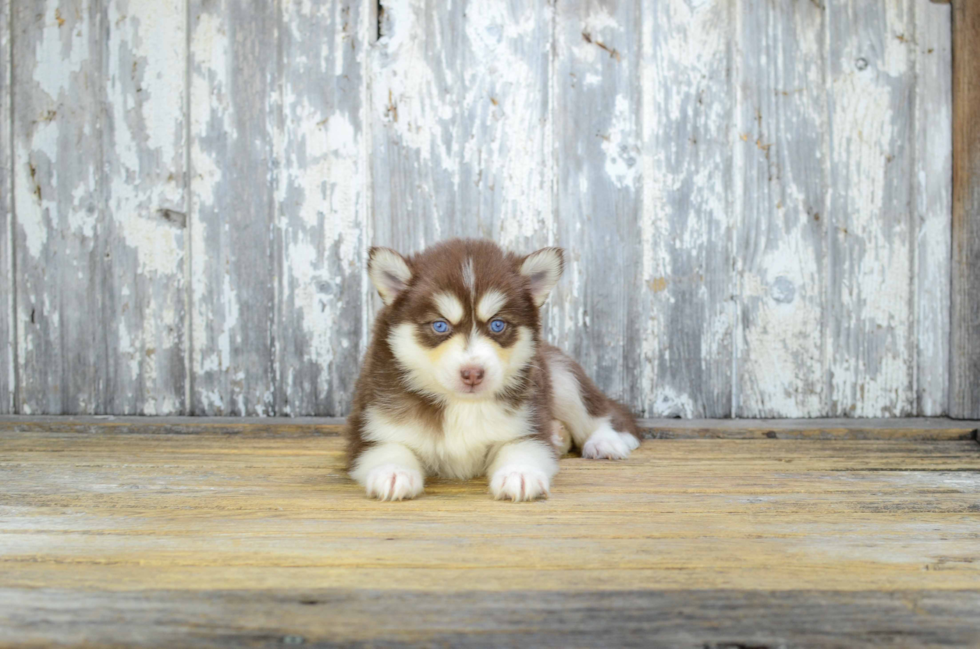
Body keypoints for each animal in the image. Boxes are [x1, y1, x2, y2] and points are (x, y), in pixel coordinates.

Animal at [346, 238, 644, 502]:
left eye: (497, 325)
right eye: (440, 325)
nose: (472, 373)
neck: (461, 405)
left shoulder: (527, 423)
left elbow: (521, 448)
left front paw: (519, 474)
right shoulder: (371, 426)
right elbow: (389, 448)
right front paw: (393, 473)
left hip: (561, 376)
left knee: (605, 412)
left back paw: (606, 441)